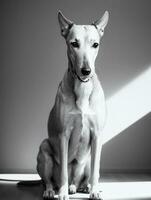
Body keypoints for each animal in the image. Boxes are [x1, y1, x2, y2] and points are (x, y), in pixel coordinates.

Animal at [36, 10, 108, 200]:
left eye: (95, 44)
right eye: (74, 44)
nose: (86, 71)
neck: (82, 87)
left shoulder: (97, 136)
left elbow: (96, 170)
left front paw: (95, 191)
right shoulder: (63, 136)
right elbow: (62, 172)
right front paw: (62, 193)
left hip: (87, 159)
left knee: (84, 176)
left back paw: (82, 187)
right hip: (44, 149)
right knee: (48, 180)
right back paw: (52, 190)